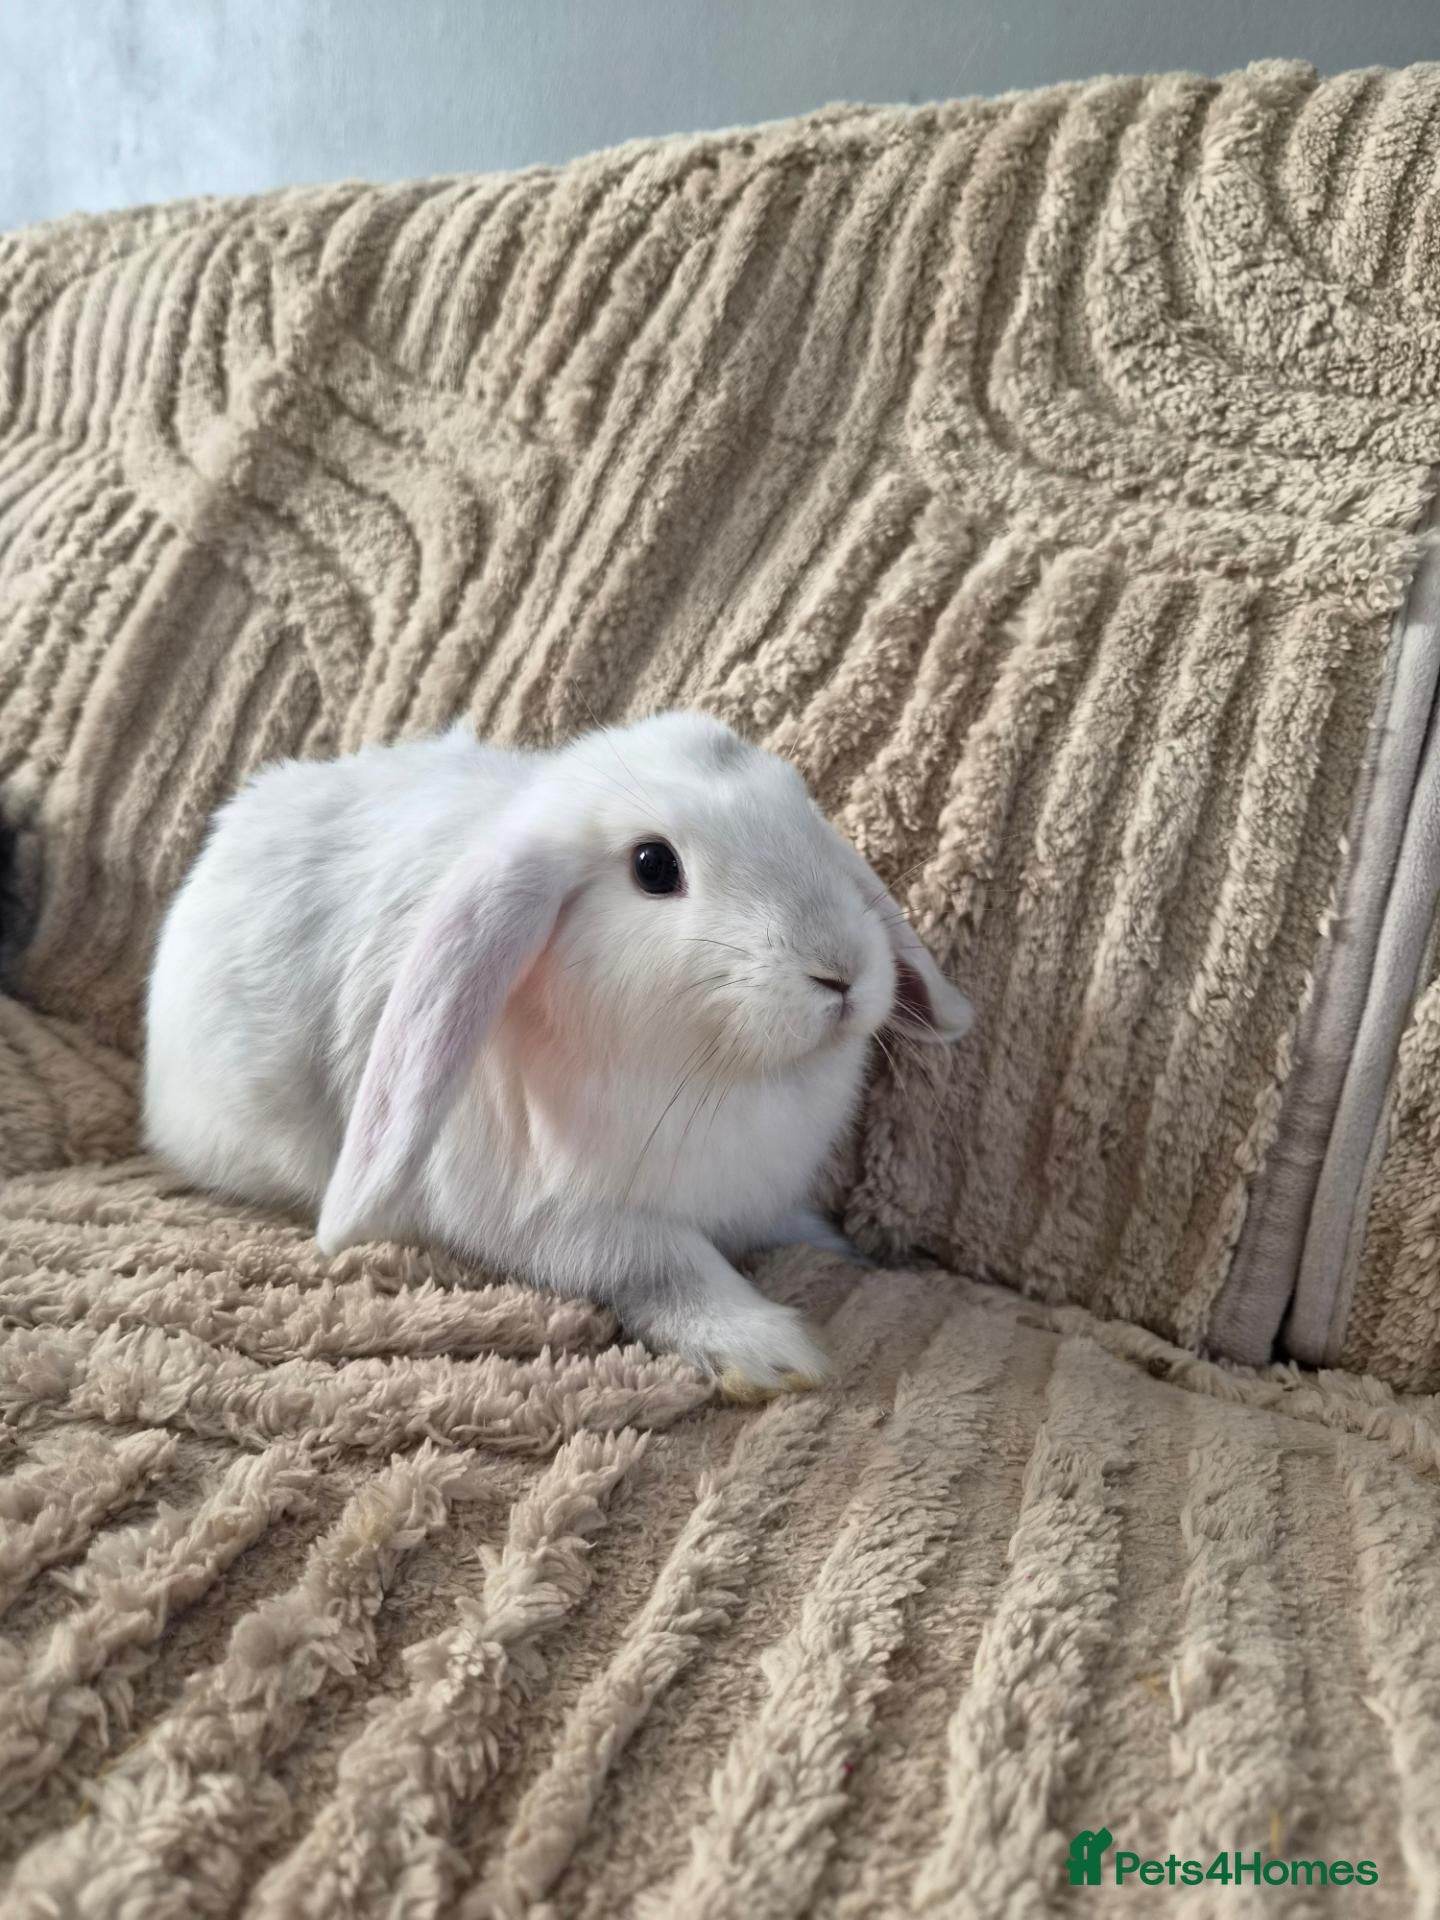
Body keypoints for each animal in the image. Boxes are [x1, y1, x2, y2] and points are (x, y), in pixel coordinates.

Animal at [144, 711, 973, 1397]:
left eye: (802, 813)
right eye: (653, 865)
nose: (842, 972)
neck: (719, 1073)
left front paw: (846, 1252)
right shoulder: (560, 1223)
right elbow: (670, 1261)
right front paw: (767, 1353)